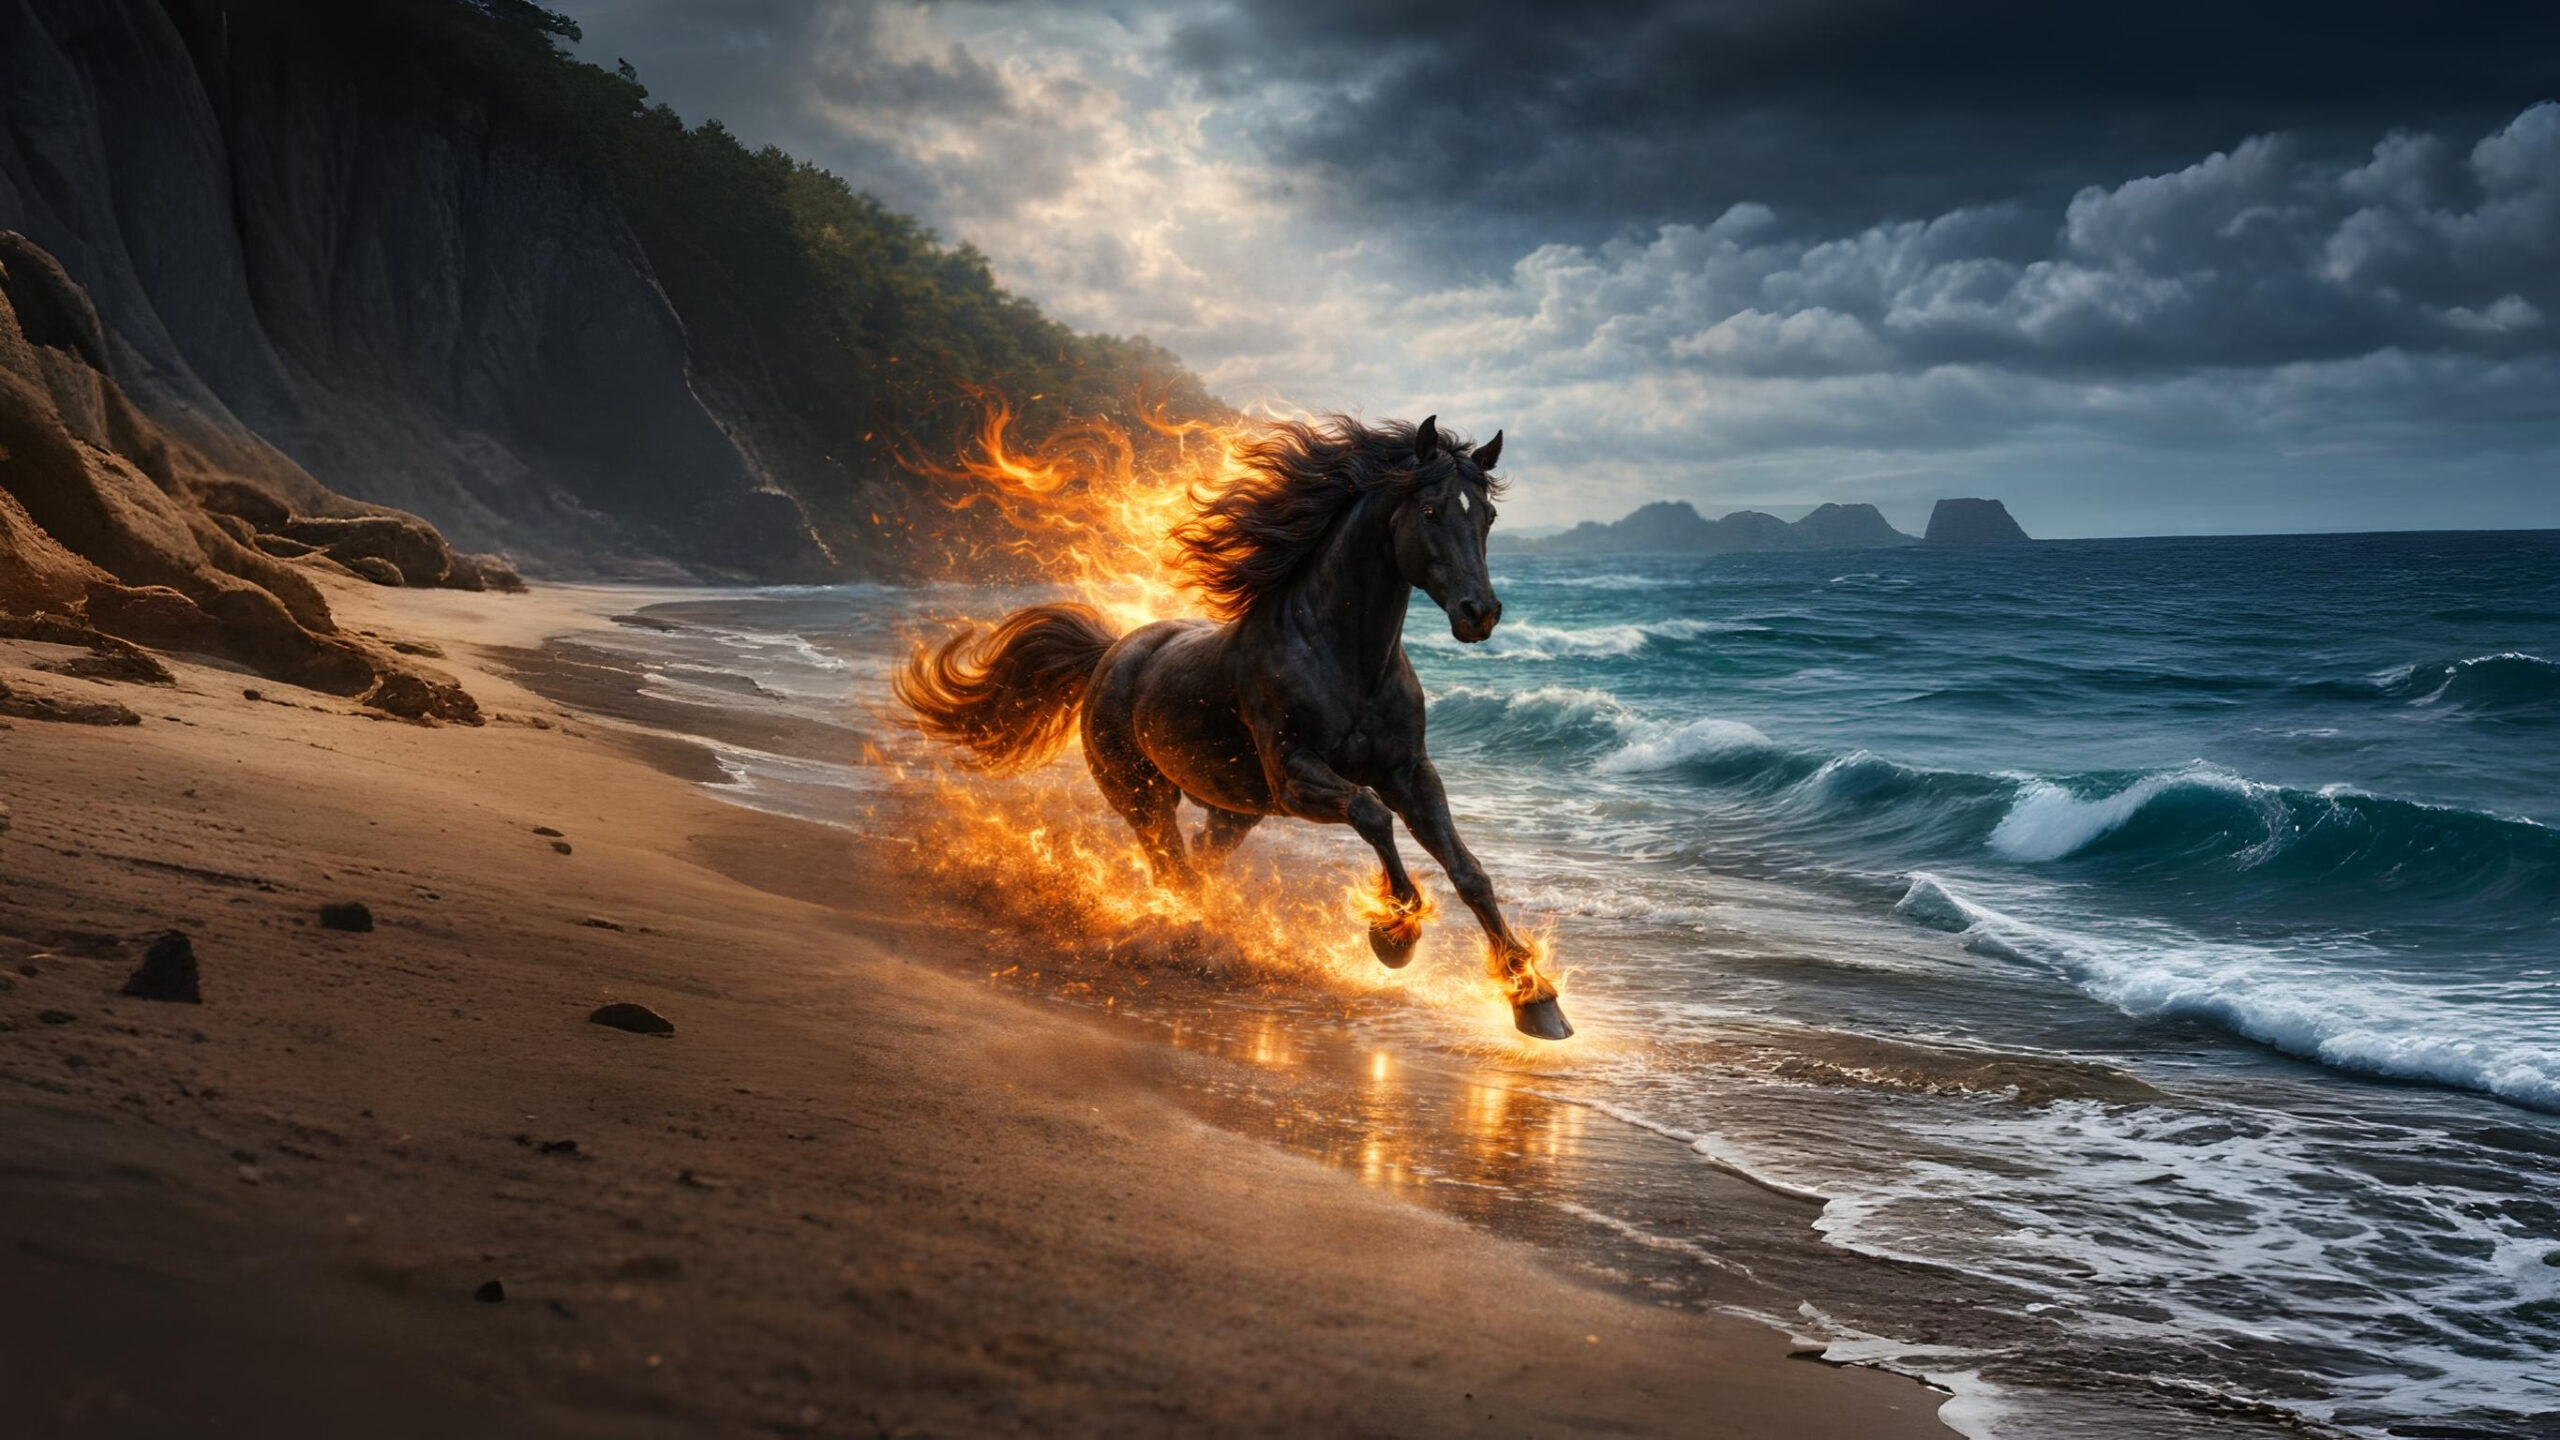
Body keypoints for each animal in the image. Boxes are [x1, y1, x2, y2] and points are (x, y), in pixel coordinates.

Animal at [895, 414, 1571, 1040]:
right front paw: (1395, 933)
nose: (1479, 613)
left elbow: (1469, 871)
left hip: (1233, 813)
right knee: (1173, 868)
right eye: (1430, 509)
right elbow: (1371, 815)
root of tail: (1111, 653)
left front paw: (1535, 1000)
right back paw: (1194, 943)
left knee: (1198, 863)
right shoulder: (1293, 778)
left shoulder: (1409, 772)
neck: (1342, 656)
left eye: (1486, 516)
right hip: (1143, 798)